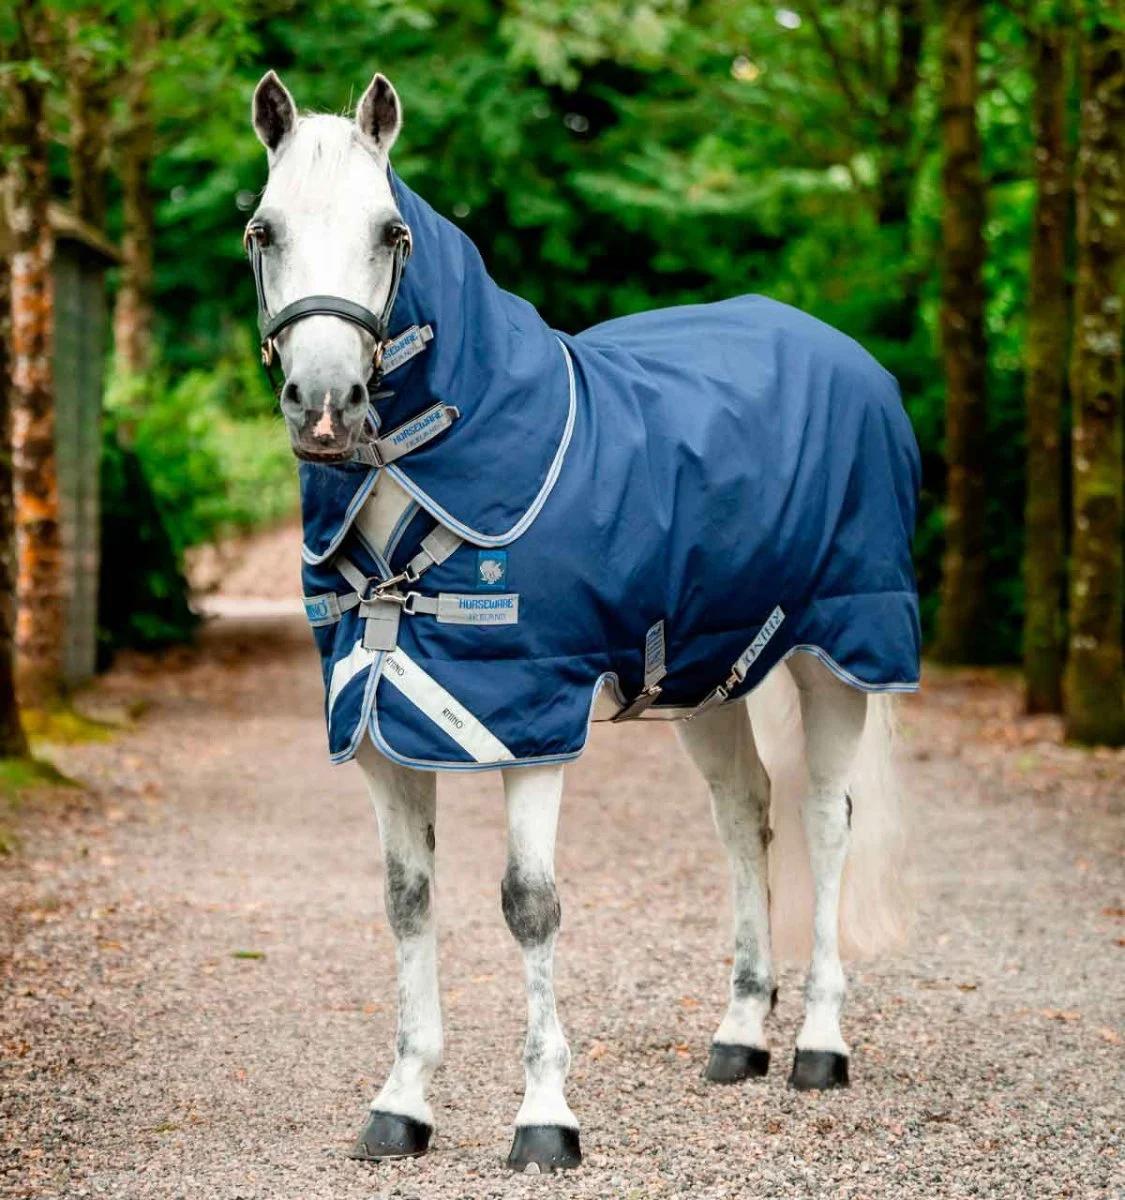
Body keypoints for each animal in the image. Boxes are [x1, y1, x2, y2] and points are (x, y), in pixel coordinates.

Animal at [246, 69, 920, 1174]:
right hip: (707, 678)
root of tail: (851, 360)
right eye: (264, 230)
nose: (327, 405)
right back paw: (741, 1035)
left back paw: (820, 1044)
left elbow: (529, 906)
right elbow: (406, 901)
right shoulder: (380, 726)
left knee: (827, 821)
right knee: (745, 816)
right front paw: (402, 1103)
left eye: (392, 233)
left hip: (839, 653)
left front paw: (544, 1117)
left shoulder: (528, 723)